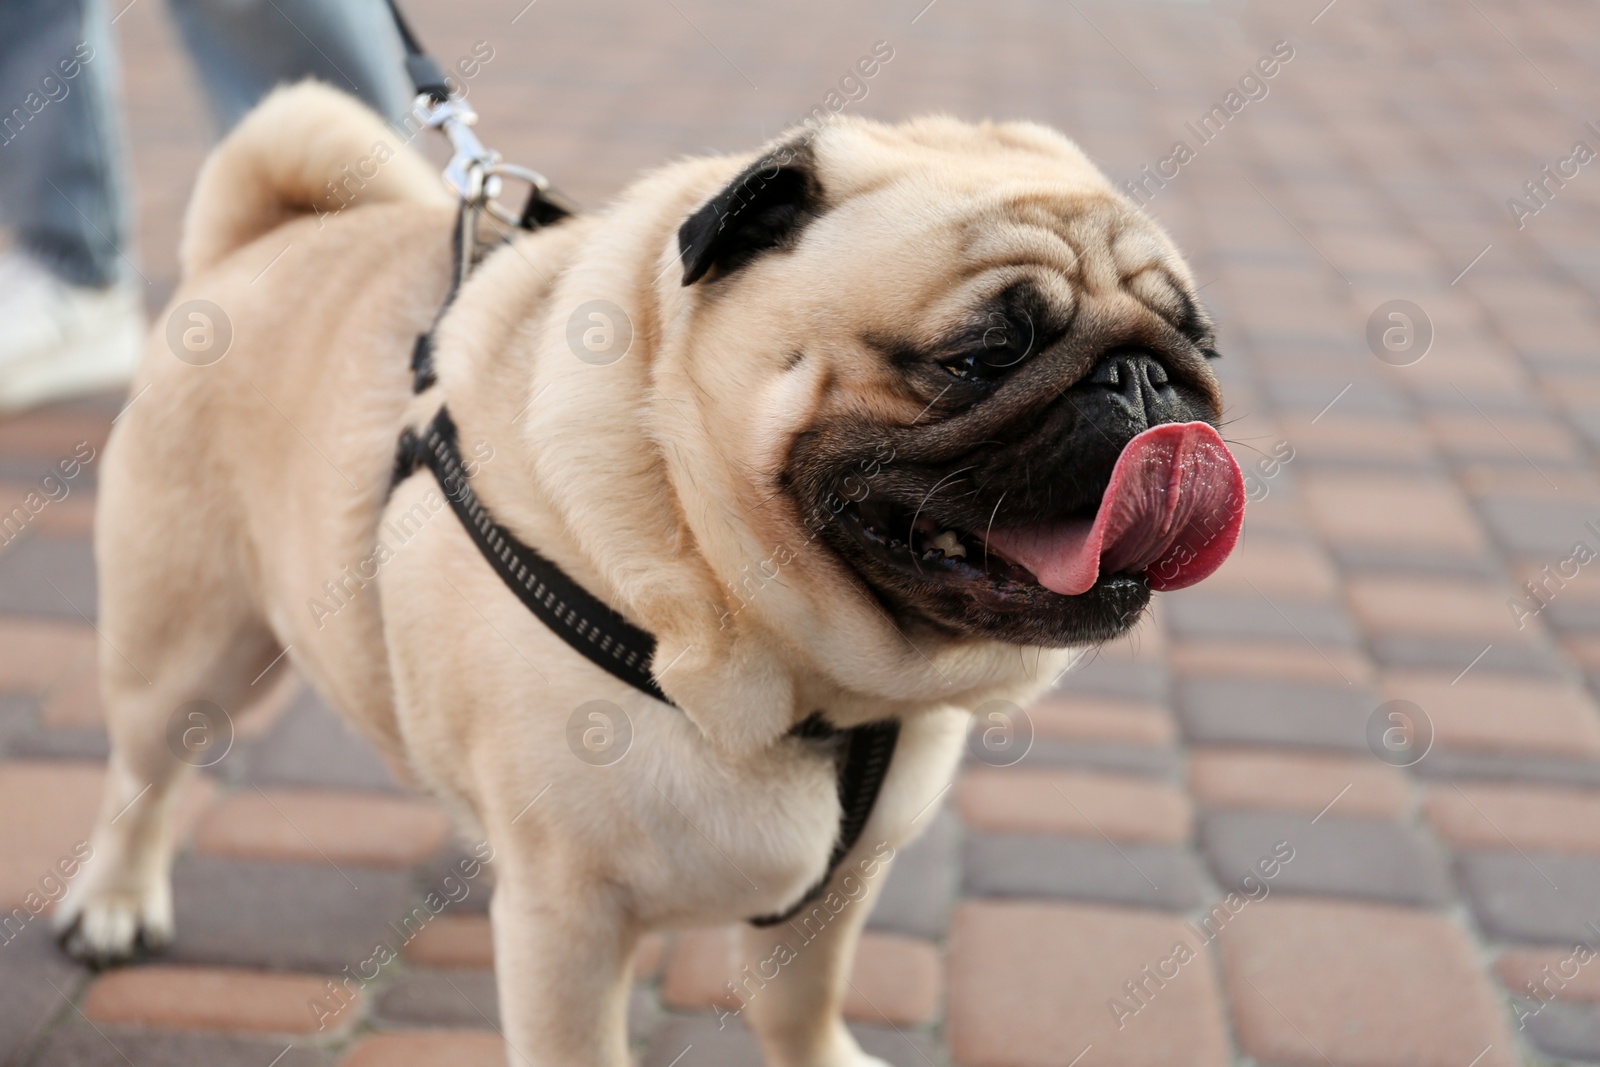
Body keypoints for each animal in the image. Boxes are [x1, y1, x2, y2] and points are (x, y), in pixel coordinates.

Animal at [56, 81, 1241, 1067]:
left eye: (1199, 342)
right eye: (982, 356)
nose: (1141, 378)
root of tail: (258, 244)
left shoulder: (841, 885)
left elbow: (800, 1003)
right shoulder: (569, 923)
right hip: (182, 645)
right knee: (140, 776)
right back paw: (112, 902)